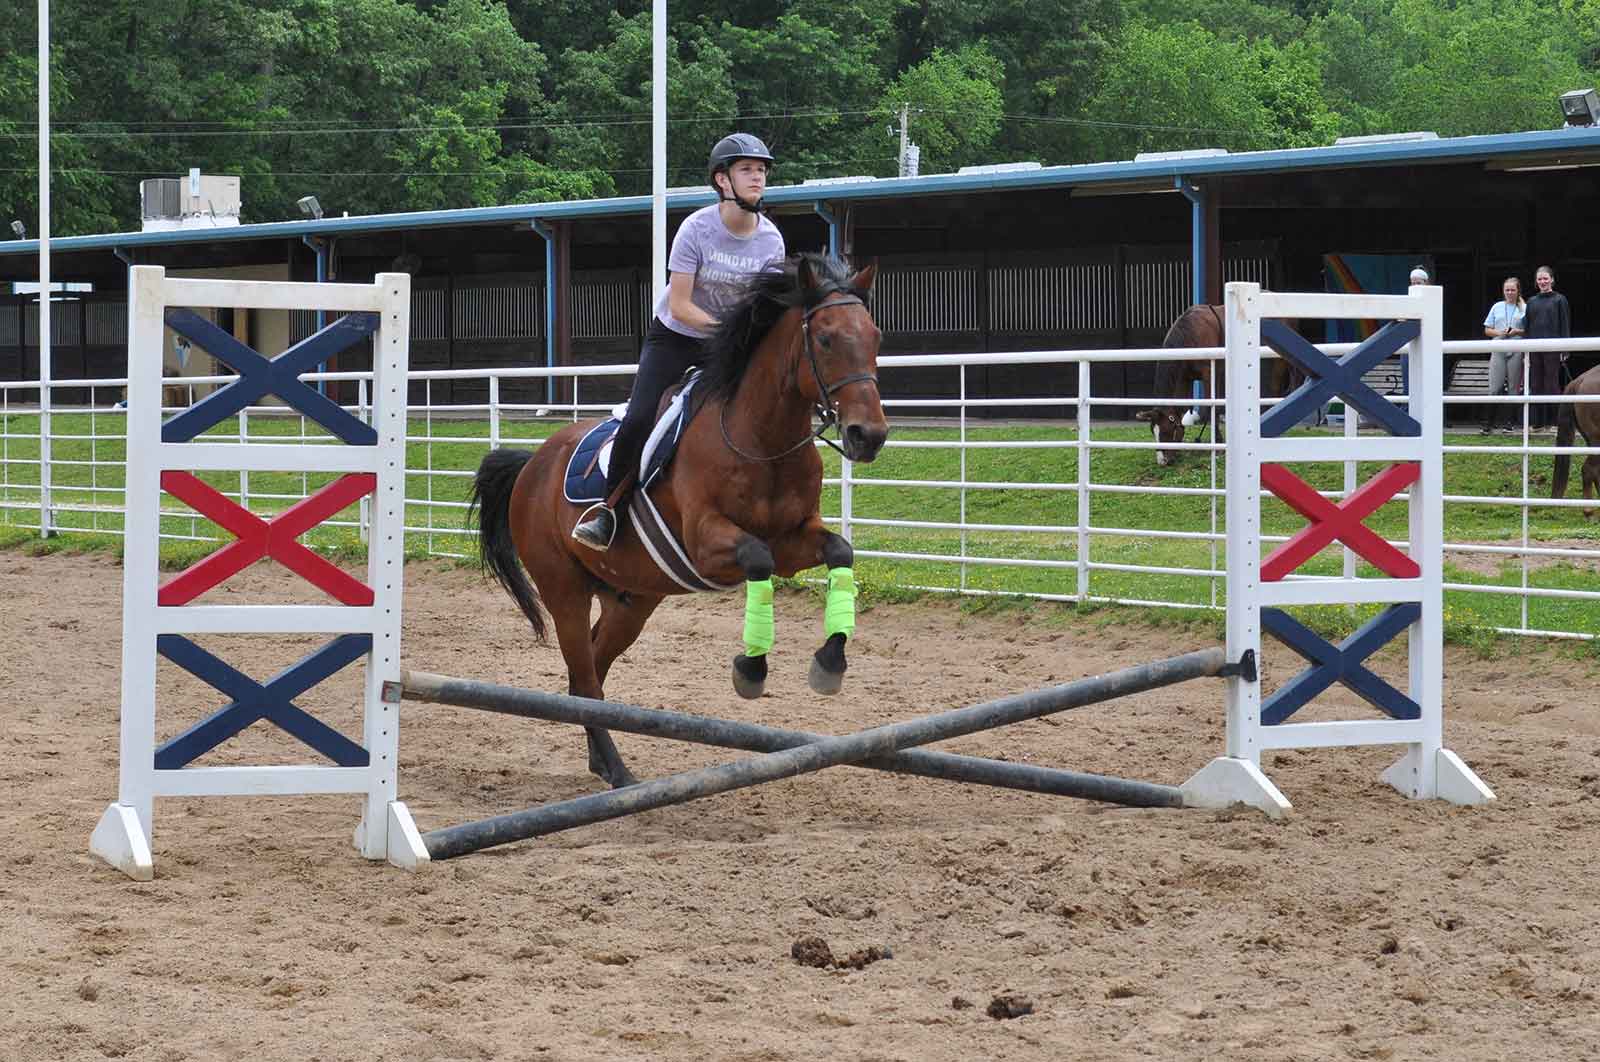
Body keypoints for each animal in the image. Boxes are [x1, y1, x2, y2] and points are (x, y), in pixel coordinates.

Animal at [467, 255, 889, 786]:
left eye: (875, 337)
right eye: (827, 339)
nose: (868, 435)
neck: (761, 440)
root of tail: (531, 465)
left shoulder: (794, 541)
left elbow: (839, 551)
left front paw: (830, 663)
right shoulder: (707, 545)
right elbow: (757, 557)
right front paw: (751, 670)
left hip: (631, 601)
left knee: (591, 672)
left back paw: (602, 763)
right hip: (564, 590)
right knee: (585, 678)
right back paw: (619, 771)